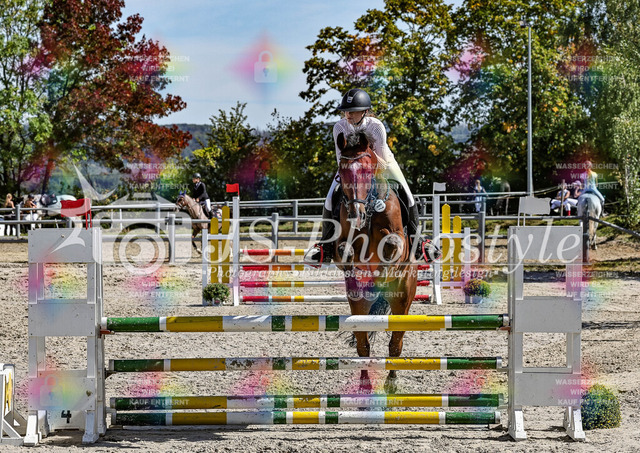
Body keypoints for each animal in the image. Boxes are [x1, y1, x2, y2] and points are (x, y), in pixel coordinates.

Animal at [333, 130, 417, 394]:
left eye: (367, 169)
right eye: (342, 171)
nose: (355, 215)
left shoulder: (398, 240)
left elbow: (392, 243)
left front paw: (383, 273)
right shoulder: (343, 242)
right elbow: (345, 250)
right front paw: (356, 269)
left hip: (402, 302)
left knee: (395, 343)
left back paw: (391, 381)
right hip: (358, 307)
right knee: (363, 346)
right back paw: (364, 384)